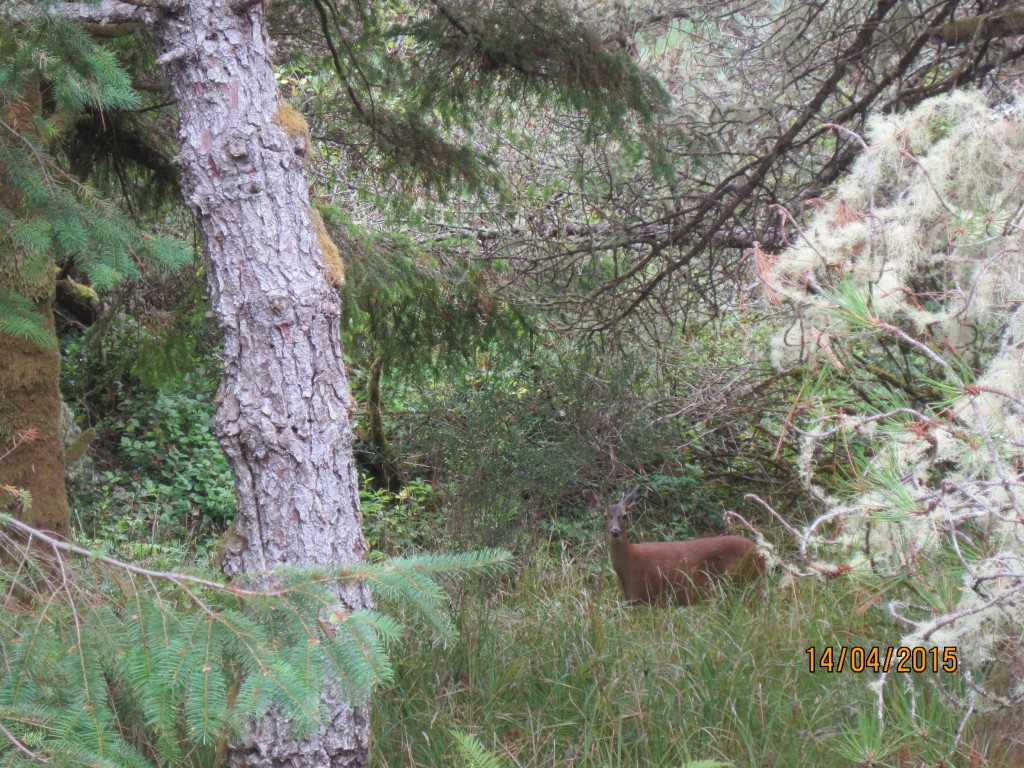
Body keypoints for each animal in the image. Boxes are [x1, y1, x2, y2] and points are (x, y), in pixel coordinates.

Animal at [589, 487, 765, 606]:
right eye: (606, 516)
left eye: (625, 516)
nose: (615, 532)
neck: (630, 565)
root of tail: (760, 553)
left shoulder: (652, 597)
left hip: (746, 582)